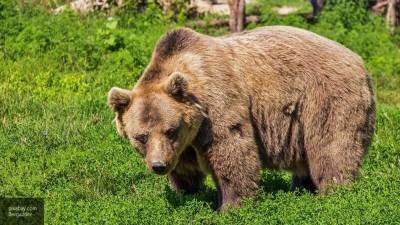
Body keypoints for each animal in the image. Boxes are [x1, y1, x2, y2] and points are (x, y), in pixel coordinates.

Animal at [106, 25, 376, 211]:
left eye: (170, 130)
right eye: (141, 137)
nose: (159, 165)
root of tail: (359, 61)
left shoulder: (217, 104)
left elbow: (232, 150)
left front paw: (230, 206)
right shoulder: (184, 143)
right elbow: (184, 168)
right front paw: (187, 193)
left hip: (325, 99)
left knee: (332, 147)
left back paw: (334, 193)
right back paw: (301, 187)